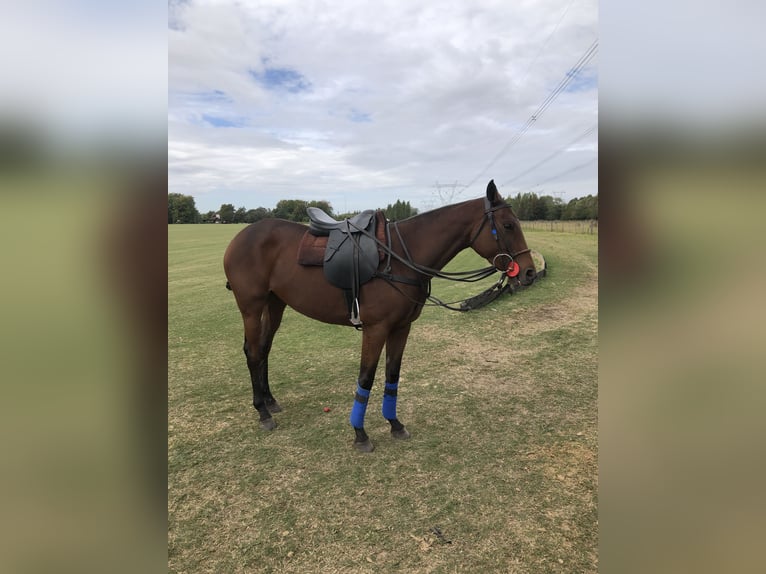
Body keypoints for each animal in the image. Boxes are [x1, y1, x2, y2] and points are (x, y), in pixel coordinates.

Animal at [222, 180, 536, 454]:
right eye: (508, 225)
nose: (530, 272)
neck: (401, 258)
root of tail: (240, 237)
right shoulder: (376, 328)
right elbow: (366, 377)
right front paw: (360, 434)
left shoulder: (401, 327)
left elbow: (392, 375)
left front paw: (395, 424)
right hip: (251, 306)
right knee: (252, 351)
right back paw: (262, 412)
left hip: (275, 304)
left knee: (264, 348)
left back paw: (270, 401)